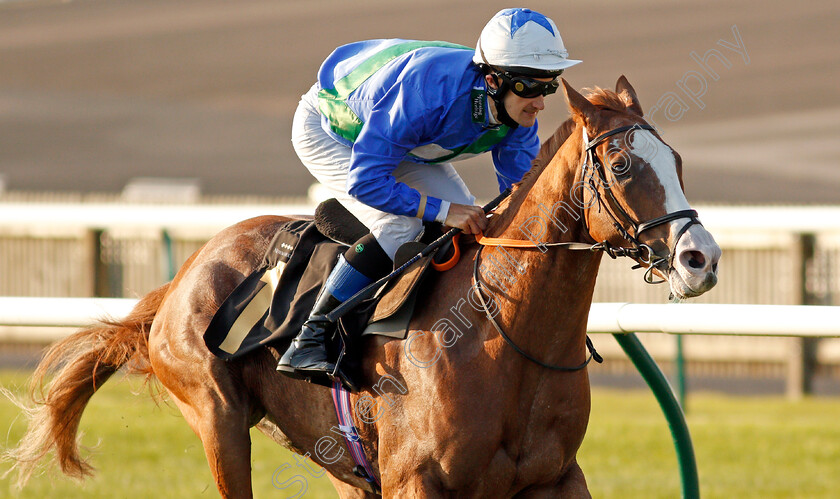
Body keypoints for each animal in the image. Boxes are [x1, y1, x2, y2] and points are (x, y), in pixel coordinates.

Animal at [3, 76, 720, 498]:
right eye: (622, 163)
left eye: (678, 160)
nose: (700, 258)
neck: (504, 336)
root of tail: (182, 277)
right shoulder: (416, 482)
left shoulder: (555, 477)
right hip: (217, 419)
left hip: (341, 458)